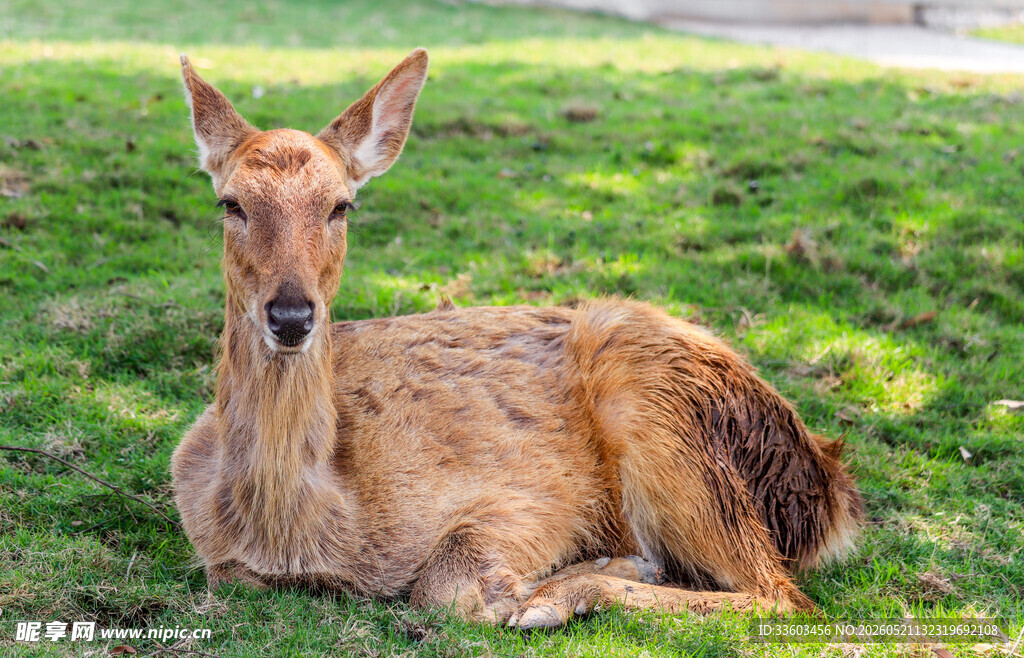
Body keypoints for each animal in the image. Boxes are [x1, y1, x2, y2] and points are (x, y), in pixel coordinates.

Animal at [171, 48, 863, 629]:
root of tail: (829, 485)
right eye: (230, 203)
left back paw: (571, 591)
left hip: (665, 422)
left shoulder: (536, 495)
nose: (291, 316)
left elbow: (449, 587)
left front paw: (574, 576)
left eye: (341, 205)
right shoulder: (219, 554)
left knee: (781, 593)